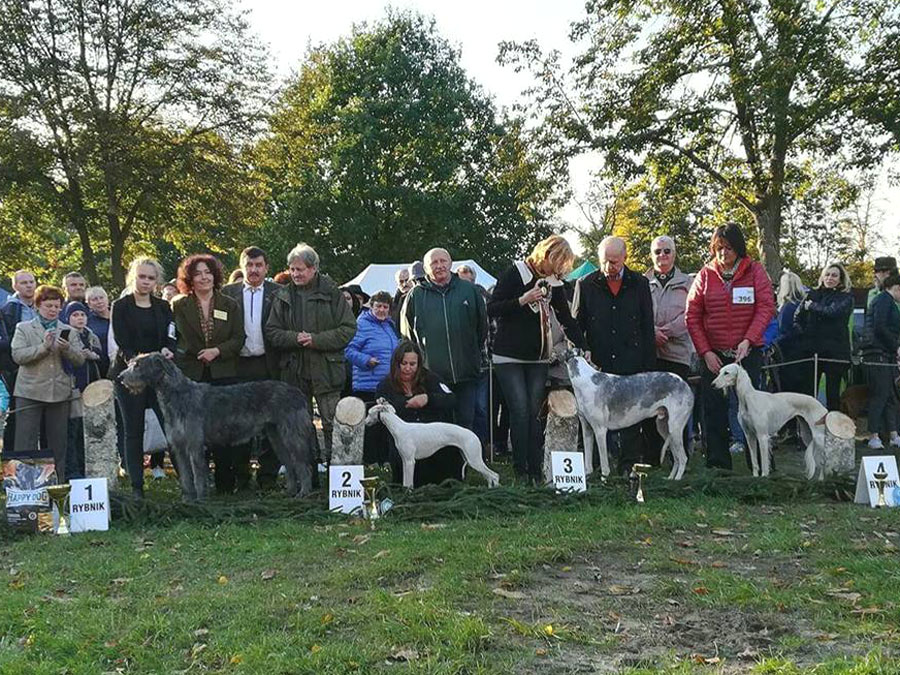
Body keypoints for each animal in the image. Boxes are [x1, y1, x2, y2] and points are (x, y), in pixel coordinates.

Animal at [364, 398, 502, 488]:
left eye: (369, 413)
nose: (365, 422)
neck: (399, 427)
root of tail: (474, 435)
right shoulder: (404, 460)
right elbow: (405, 482)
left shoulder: (410, 461)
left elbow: (409, 483)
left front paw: (408, 494)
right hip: (470, 458)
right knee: (489, 476)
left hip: (474, 459)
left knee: (494, 475)